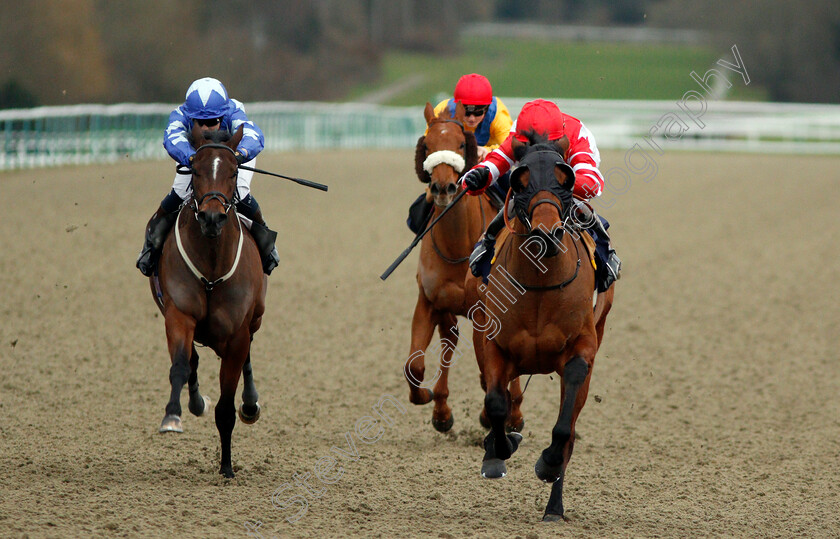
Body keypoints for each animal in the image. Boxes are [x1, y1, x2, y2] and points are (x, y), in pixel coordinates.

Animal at [151, 124, 268, 478]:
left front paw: (227, 467)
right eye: (196, 170)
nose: (212, 218)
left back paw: (250, 404)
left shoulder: (237, 334)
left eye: (232, 172)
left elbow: (226, 405)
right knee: (191, 359)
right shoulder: (178, 314)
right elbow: (180, 365)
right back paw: (194, 401)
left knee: (247, 358)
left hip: (255, 318)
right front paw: (172, 416)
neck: (212, 269)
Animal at [402, 101, 524, 432]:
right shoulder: (429, 301)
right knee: (450, 340)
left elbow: (489, 368)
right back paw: (443, 409)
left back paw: (514, 414)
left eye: (460, 144)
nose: (442, 188)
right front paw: (428, 398)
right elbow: (415, 365)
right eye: (428, 145)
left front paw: (497, 414)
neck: (458, 244)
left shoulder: (484, 312)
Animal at [466, 140, 616, 524]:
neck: (539, 282)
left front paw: (547, 464)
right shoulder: (495, 345)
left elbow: (564, 428)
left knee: (570, 432)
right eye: (521, 180)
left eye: (566, 179)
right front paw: (498, 451)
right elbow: (496, 403)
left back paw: (553, 507)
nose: (546, 234)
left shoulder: (582, 347)